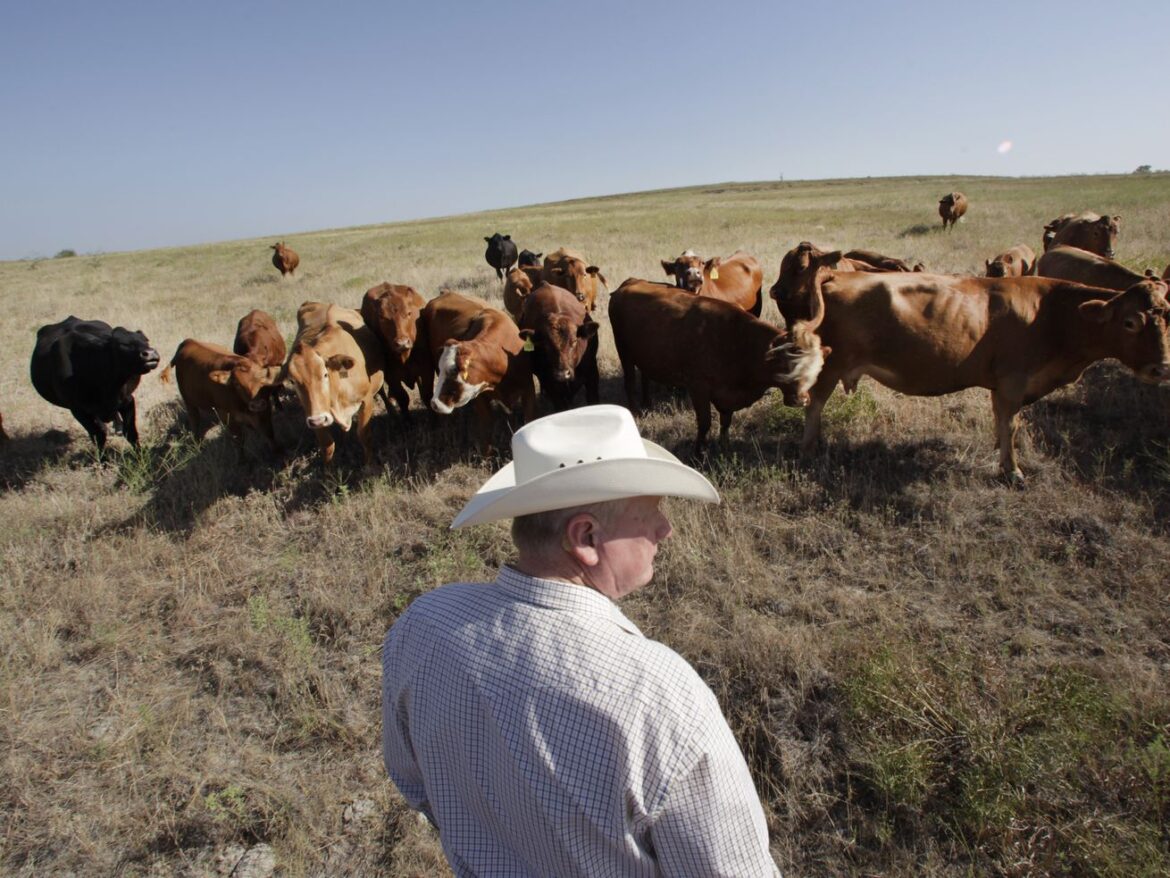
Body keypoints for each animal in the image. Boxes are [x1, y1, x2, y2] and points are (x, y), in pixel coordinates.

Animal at [360, 282, 430, 419]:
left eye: (409, 313)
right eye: (382, 317)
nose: (402, 343)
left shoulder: (425, 368)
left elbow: (426, 395)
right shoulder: (391, 376)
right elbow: (403, 399)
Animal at [414, 292, 535, 454]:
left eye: (453, 372)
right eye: (442, 371)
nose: (435, 404)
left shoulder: (528, 389)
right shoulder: (479, 398)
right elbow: (486, 428)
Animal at [608, 278, 828, 454]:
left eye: (815, 370)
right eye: (786, 365)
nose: (801, 400)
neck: (739, 341)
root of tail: (629, 283)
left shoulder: (727, 395)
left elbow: (726, 421)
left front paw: (725, 447)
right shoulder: (698, 387)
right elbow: (705, 422)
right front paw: (698, 453)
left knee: (644, 376)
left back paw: (646, 404)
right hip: (623, 351)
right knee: (629, 381)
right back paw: (635, 411)